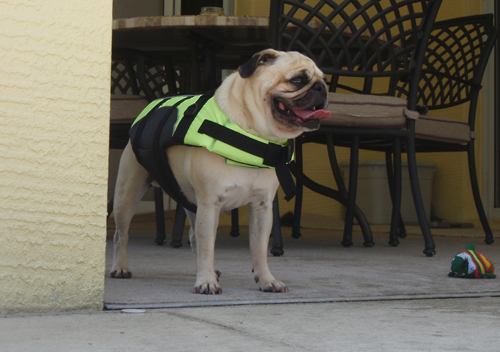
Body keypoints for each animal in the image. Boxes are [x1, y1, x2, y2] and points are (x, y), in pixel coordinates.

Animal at [112, 48, 332, 292]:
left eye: (325, 80)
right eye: (298, 80)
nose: (322, 88)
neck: (254, 135)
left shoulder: (262, 208)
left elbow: (259, 250)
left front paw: (266, 279)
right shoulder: (210, 205)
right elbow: (208, 247)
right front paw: (206, 281)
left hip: (190, 201)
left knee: (193, 237)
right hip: (127, 196)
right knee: (121, 234)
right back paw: (120, 267)